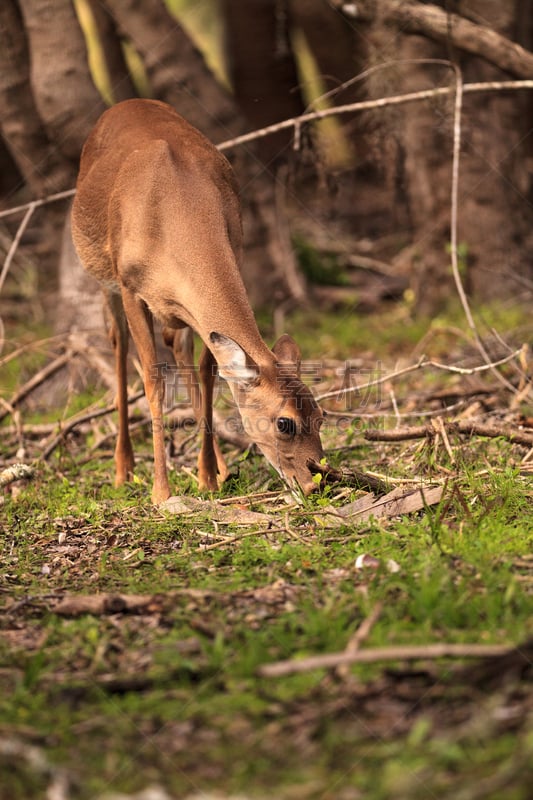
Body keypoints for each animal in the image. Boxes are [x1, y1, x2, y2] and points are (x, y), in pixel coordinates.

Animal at [70, 98, 324, 500]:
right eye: (285, 423)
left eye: (320, 416)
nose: (314, 480)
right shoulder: (129, 287)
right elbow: (153, 382)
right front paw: (161, 492)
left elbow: (208, 374)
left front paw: (207, 476)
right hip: (103, 277)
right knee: (118, 346)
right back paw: (123, 469)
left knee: (178, 347)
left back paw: (219, 467)